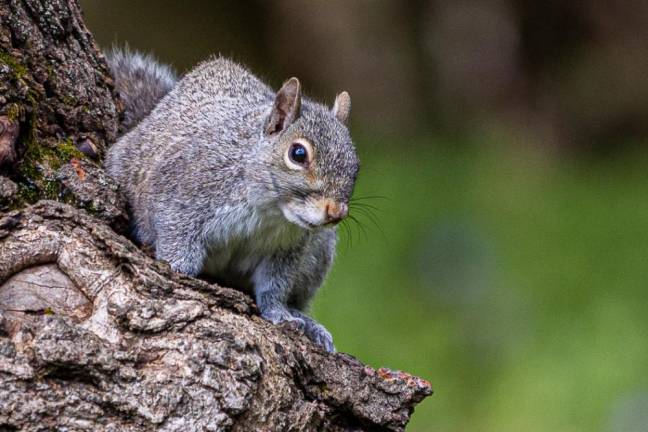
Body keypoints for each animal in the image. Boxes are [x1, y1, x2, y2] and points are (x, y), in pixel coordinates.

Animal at [104, 48, 362, 352]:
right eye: (298, 154)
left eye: (356, 165)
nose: (337, 212)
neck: (270, 210)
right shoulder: (181, 192)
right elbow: (175, 236)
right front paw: (179, 270)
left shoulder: (286, 250)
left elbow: (274, 287)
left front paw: (280, 313)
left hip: (318, 253)